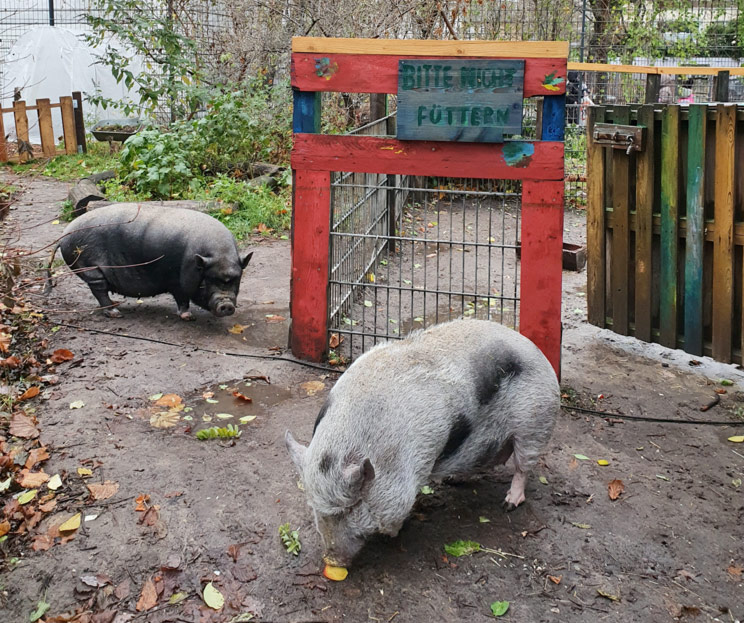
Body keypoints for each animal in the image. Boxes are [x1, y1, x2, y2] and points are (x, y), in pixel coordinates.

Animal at [51, 205, 253, 320]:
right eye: (206, 280)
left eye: (236, 280)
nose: (226, 304)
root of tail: (64, 236)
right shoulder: (176, 282)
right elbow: (182, 299)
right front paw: (187, 317)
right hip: (91, 269)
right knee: (99, 290)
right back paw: (116, 313)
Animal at [284, 320, 560, 568]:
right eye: (316, 509)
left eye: (351, 509)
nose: (331, 559)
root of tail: (539, 354)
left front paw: (395, 533)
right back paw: (453, 480)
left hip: (534, 422)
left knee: (523, 467)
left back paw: (508, 504)